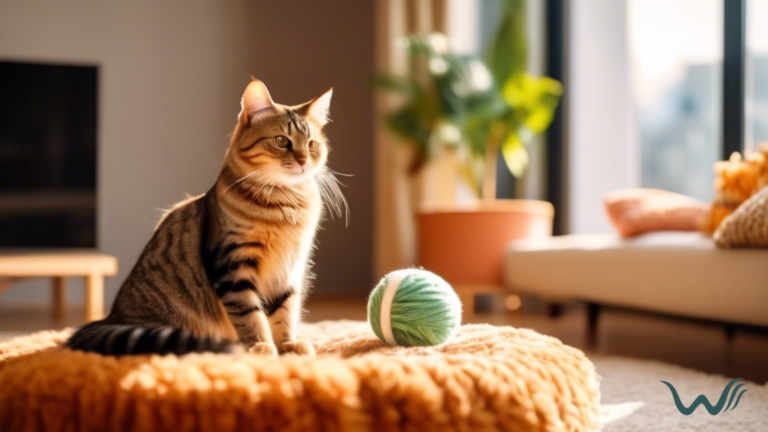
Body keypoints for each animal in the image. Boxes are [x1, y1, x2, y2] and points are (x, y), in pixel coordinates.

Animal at [67, 79, 344, 356]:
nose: (303, 160)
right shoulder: (232, 266)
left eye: (312, 144)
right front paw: (261, 347)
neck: (285, 204)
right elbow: (250, 315)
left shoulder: (290, 268)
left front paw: (287, 346)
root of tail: (111, 318)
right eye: (281, 141)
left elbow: (285, 314)